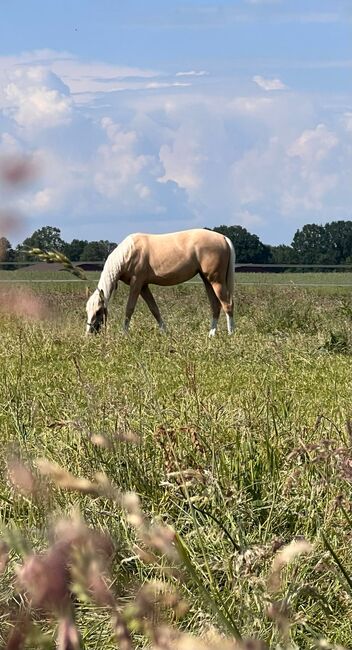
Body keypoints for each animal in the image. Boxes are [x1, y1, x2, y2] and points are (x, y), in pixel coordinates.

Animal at [85, 227, 235, 334]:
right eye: (87, 311)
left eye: (98, 311)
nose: (88, 334)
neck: (129, 253)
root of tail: (223, 238)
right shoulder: (144, 286)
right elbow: (154, 309)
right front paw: (165, 333)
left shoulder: (136, 284)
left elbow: (129, 309)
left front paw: (124, 334)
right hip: (207, 281)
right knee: (215, 306)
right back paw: (211, 335)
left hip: (216, 281)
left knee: (227, 305)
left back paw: (230, 335)